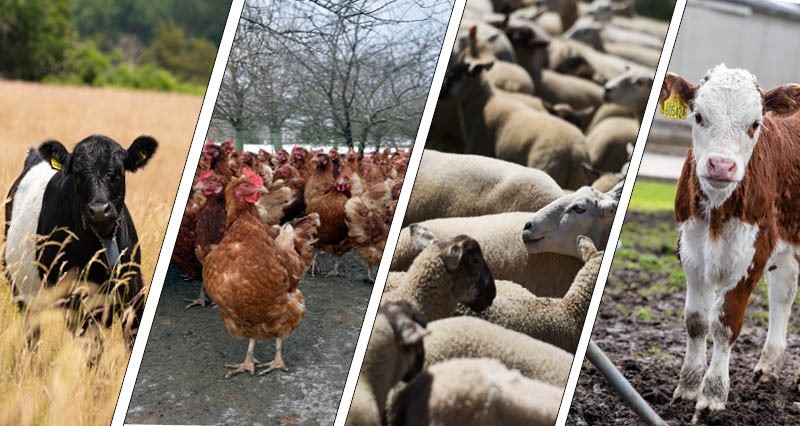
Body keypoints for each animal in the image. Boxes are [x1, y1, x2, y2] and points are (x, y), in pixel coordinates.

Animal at [4, 134, 158, 347]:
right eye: (77, 176)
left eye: (118, 173)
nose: (99, 210)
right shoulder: (77, 302)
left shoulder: (133, 291)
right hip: (24, 296)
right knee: (32, 338)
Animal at [448, 60, 589, 190]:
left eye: (455, 75)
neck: (484, 102)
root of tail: (574, 151)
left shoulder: (479, 147)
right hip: (575, 180)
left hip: (546, 166)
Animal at [660, 63, 800, 421]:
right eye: (698, 116)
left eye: (755, 123)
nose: (722, 166)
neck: (717, 212)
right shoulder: (690, 250)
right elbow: (696, 322)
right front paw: (687, 387)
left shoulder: (752, 255)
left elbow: (724, 325)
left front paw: (712, 396)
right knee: (783, 291)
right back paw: (768, 366)